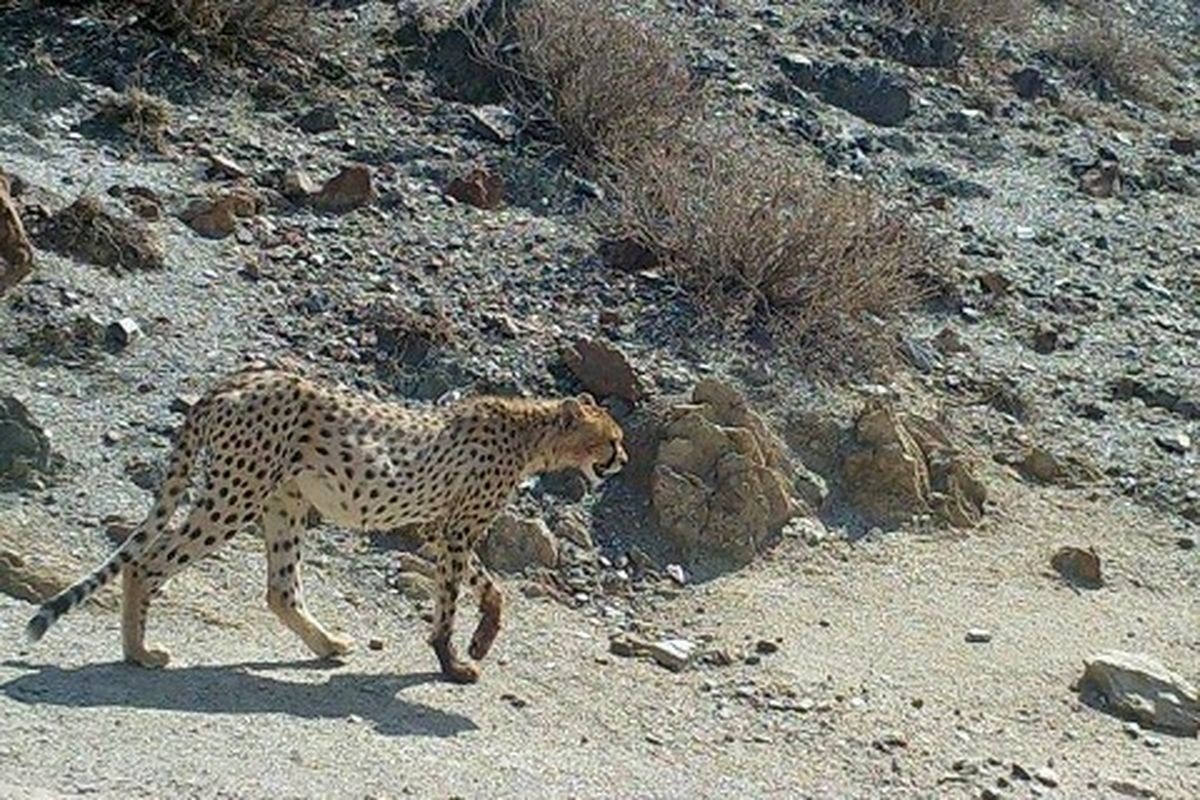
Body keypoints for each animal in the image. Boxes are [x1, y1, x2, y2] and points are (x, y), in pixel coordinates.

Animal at [23, 367, 628, 686]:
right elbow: (449, 602)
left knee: (279, 590)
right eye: (612, 437)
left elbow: (489, 586)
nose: (622, 459)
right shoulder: (456, 529)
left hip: (281, 502)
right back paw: (139, 653)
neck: (531, 435)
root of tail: (231, 380)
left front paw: (483, 638)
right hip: (235, 496)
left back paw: (327, 642)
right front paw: (452, 660)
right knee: (147, 563)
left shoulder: (441, 526)